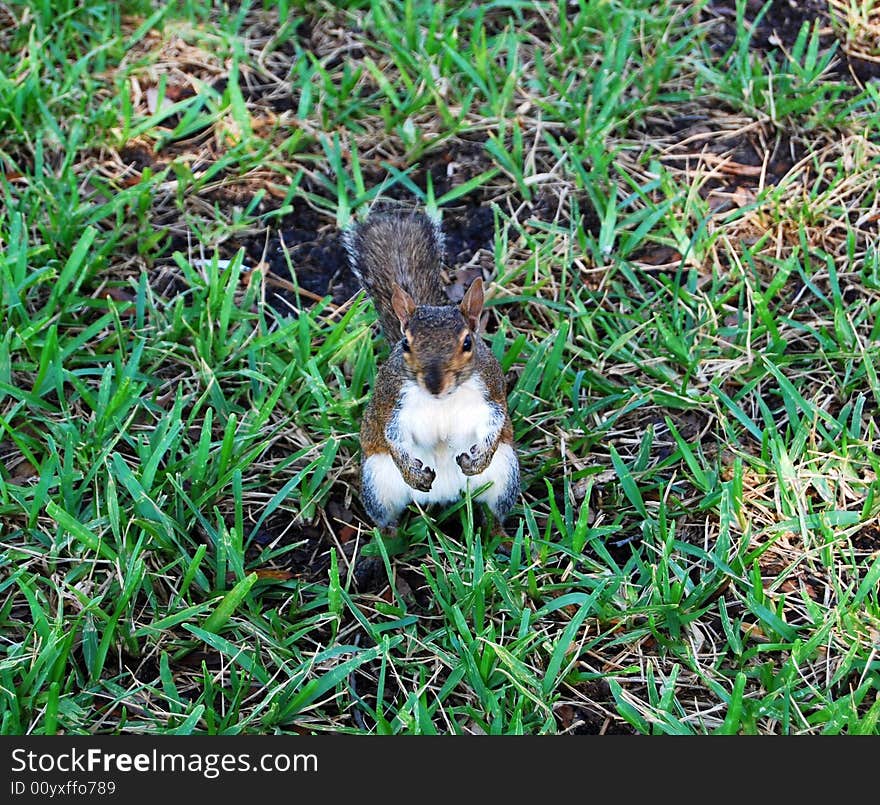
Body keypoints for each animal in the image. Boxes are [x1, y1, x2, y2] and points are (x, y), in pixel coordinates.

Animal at [344, 210, 520, 532]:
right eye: (405, 344)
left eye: (467, 342)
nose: (434, 383)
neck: (443, 401)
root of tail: (446, 493)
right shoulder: (395, 403)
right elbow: (393, 435)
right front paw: (412, 473)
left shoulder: (490, 395)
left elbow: (494, 425)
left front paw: (478, 460)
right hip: (377, 483)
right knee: (386, 519)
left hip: (504, 476)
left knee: (494, 512)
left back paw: (499, 535)